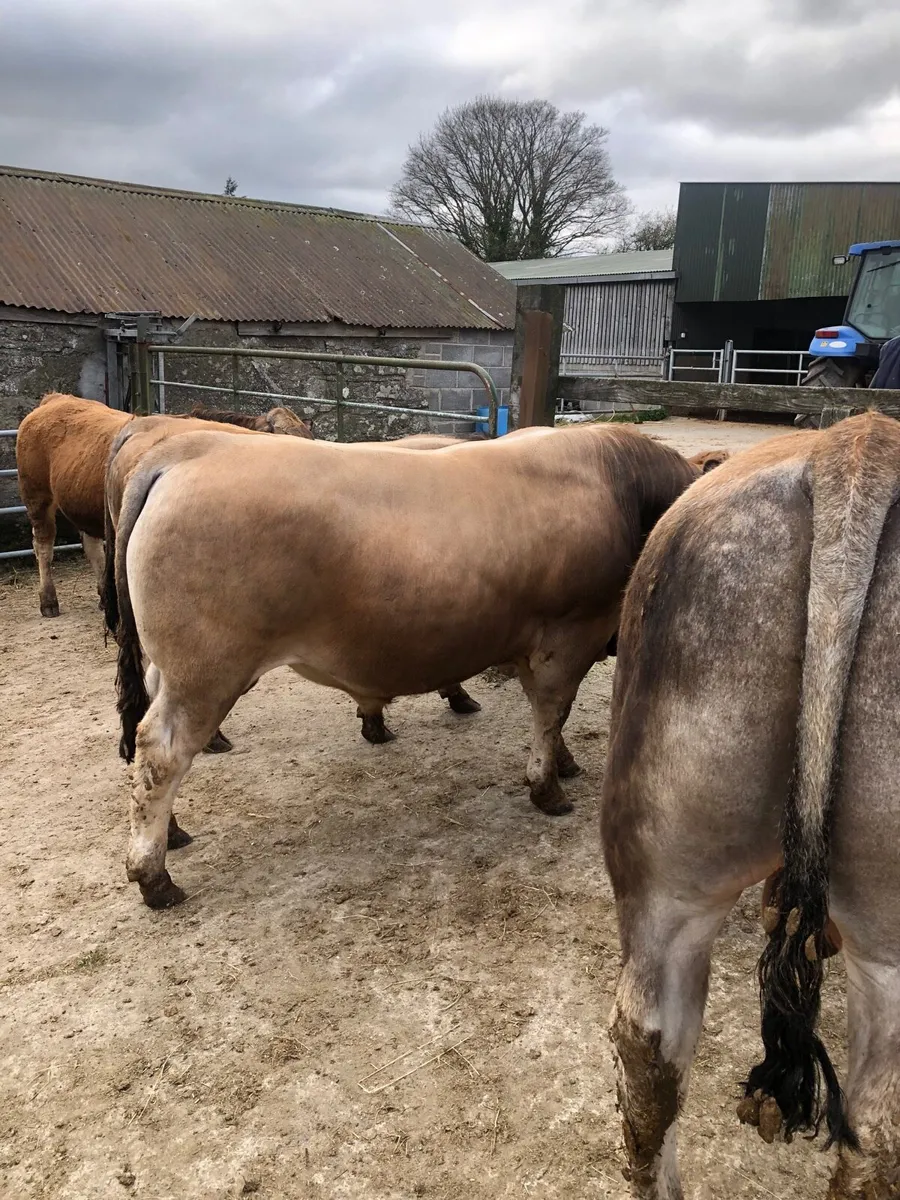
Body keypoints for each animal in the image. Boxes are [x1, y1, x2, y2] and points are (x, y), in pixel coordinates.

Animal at [102, 422, 702, 908]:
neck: (620, 489)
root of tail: (186, 450)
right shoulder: (571, 633)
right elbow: (553, 710)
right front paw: (547, 788)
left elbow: (554, 719)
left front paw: (564, 763)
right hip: (205, 673)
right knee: (162, 750)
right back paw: (154, 876)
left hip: (168, 668)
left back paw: (174, 833)